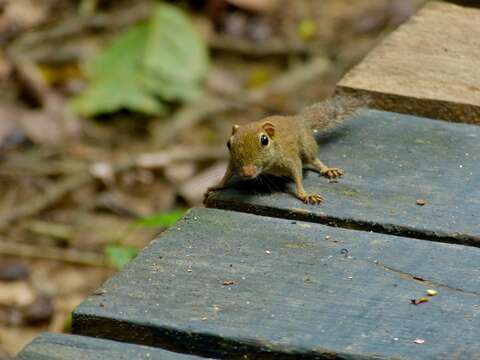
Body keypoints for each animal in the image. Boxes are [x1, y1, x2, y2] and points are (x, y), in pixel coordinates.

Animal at [204, 93, 370, 204]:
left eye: (264, 140)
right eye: (228, 143)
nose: (247, 173)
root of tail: (298, 120)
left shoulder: (290, 159)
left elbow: (297, 176)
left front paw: (304, 195)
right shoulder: (233, 163)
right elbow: (226, 174)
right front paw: (216, 186)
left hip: (306, 145)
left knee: (313, 159)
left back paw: (326, 169)